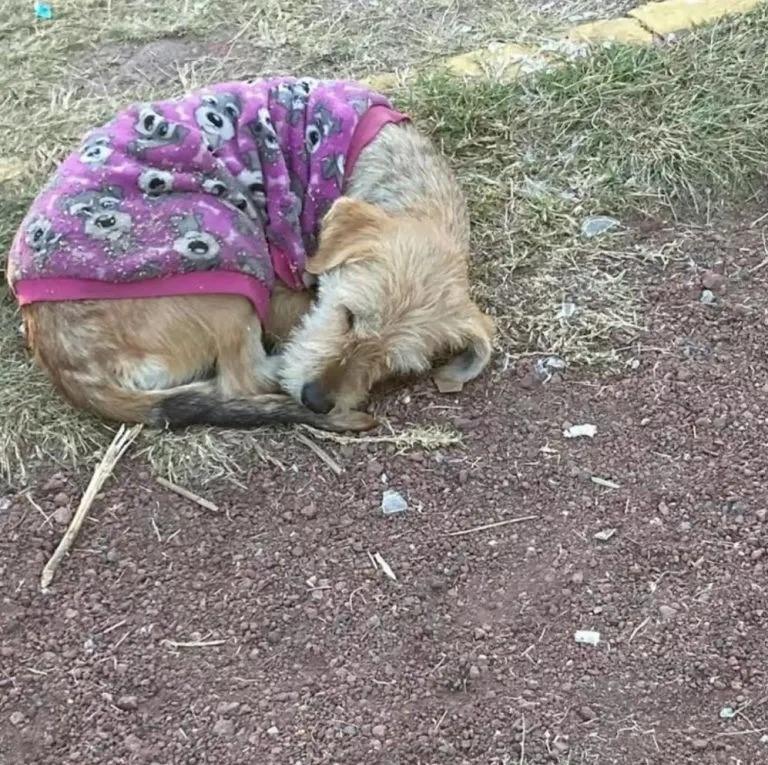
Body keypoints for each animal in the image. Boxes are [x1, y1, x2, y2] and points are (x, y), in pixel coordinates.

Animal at [4, 80, 492, 432]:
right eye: (348, 314)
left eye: (394, 365)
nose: (316, 400)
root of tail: (70, 367)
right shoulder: (285, 283)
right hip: (231, 264)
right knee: (243, 378)